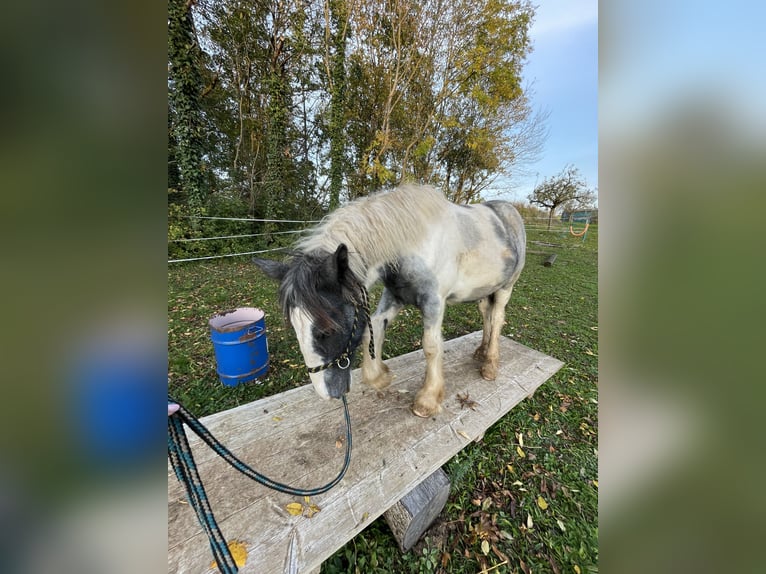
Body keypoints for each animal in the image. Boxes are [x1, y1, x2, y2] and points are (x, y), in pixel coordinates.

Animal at [255, 184, 524, 418]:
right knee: (486, 315)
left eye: (326, 331)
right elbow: (372, 328)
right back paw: (481, 352)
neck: (413, 243)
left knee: (497, 318)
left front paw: (427, 400)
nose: (328, 394)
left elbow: (431, 346)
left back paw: (490, 365)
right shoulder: (394, 296)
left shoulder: (434, 302)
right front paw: (378, 377)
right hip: (484, 290)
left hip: (505, 288)